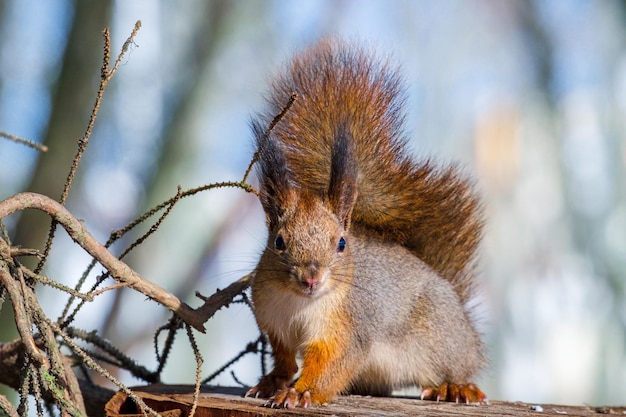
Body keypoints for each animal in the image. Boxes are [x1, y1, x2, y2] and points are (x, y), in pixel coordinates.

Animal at [244, 39, 482, 406]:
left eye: (341, 243)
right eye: (279, 242)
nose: (311, 278)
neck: (300, 304)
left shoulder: (348, 331)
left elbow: (332, 364)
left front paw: (301, 392)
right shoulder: (274, 324)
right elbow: (284, 359)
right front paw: (272, 382)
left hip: (442, 340)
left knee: (458, 367)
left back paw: (455, 387)